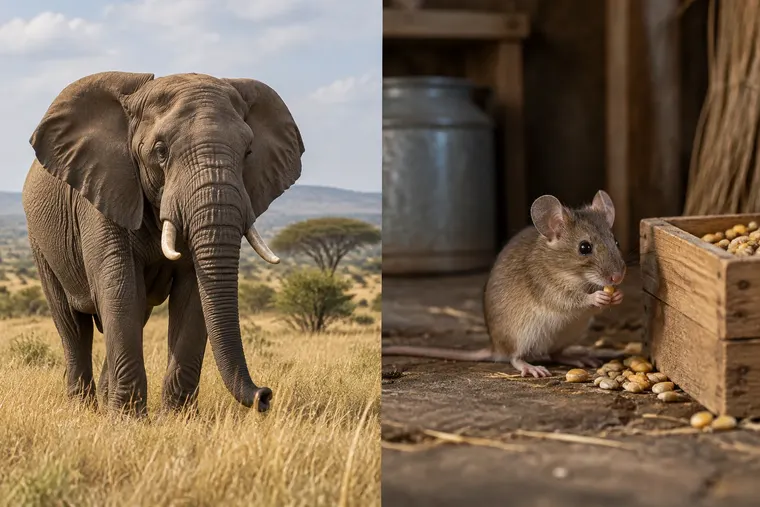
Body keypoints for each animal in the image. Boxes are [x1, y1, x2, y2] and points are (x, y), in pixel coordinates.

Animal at [22, 71, 304, 416]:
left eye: (248, 152)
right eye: (161, 151)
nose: (264, 396)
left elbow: (192, 295)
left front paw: (176, 418)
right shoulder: (104, 191)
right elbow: (120, 288)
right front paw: (128, 420)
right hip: (40, 242)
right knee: (73, 325)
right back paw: (83, 409)